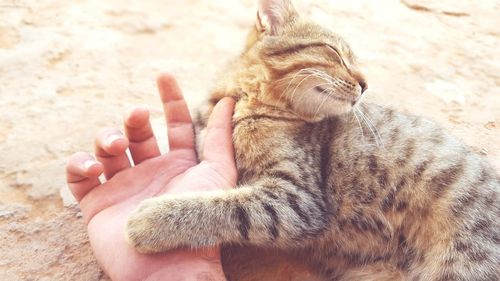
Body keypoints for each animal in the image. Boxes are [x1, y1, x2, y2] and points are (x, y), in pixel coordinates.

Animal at [126, 1, 500, 278]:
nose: (366, 83)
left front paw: (155, 219)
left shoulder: (298, 198)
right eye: (335, 53)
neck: (249, 103)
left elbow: (227, 206)